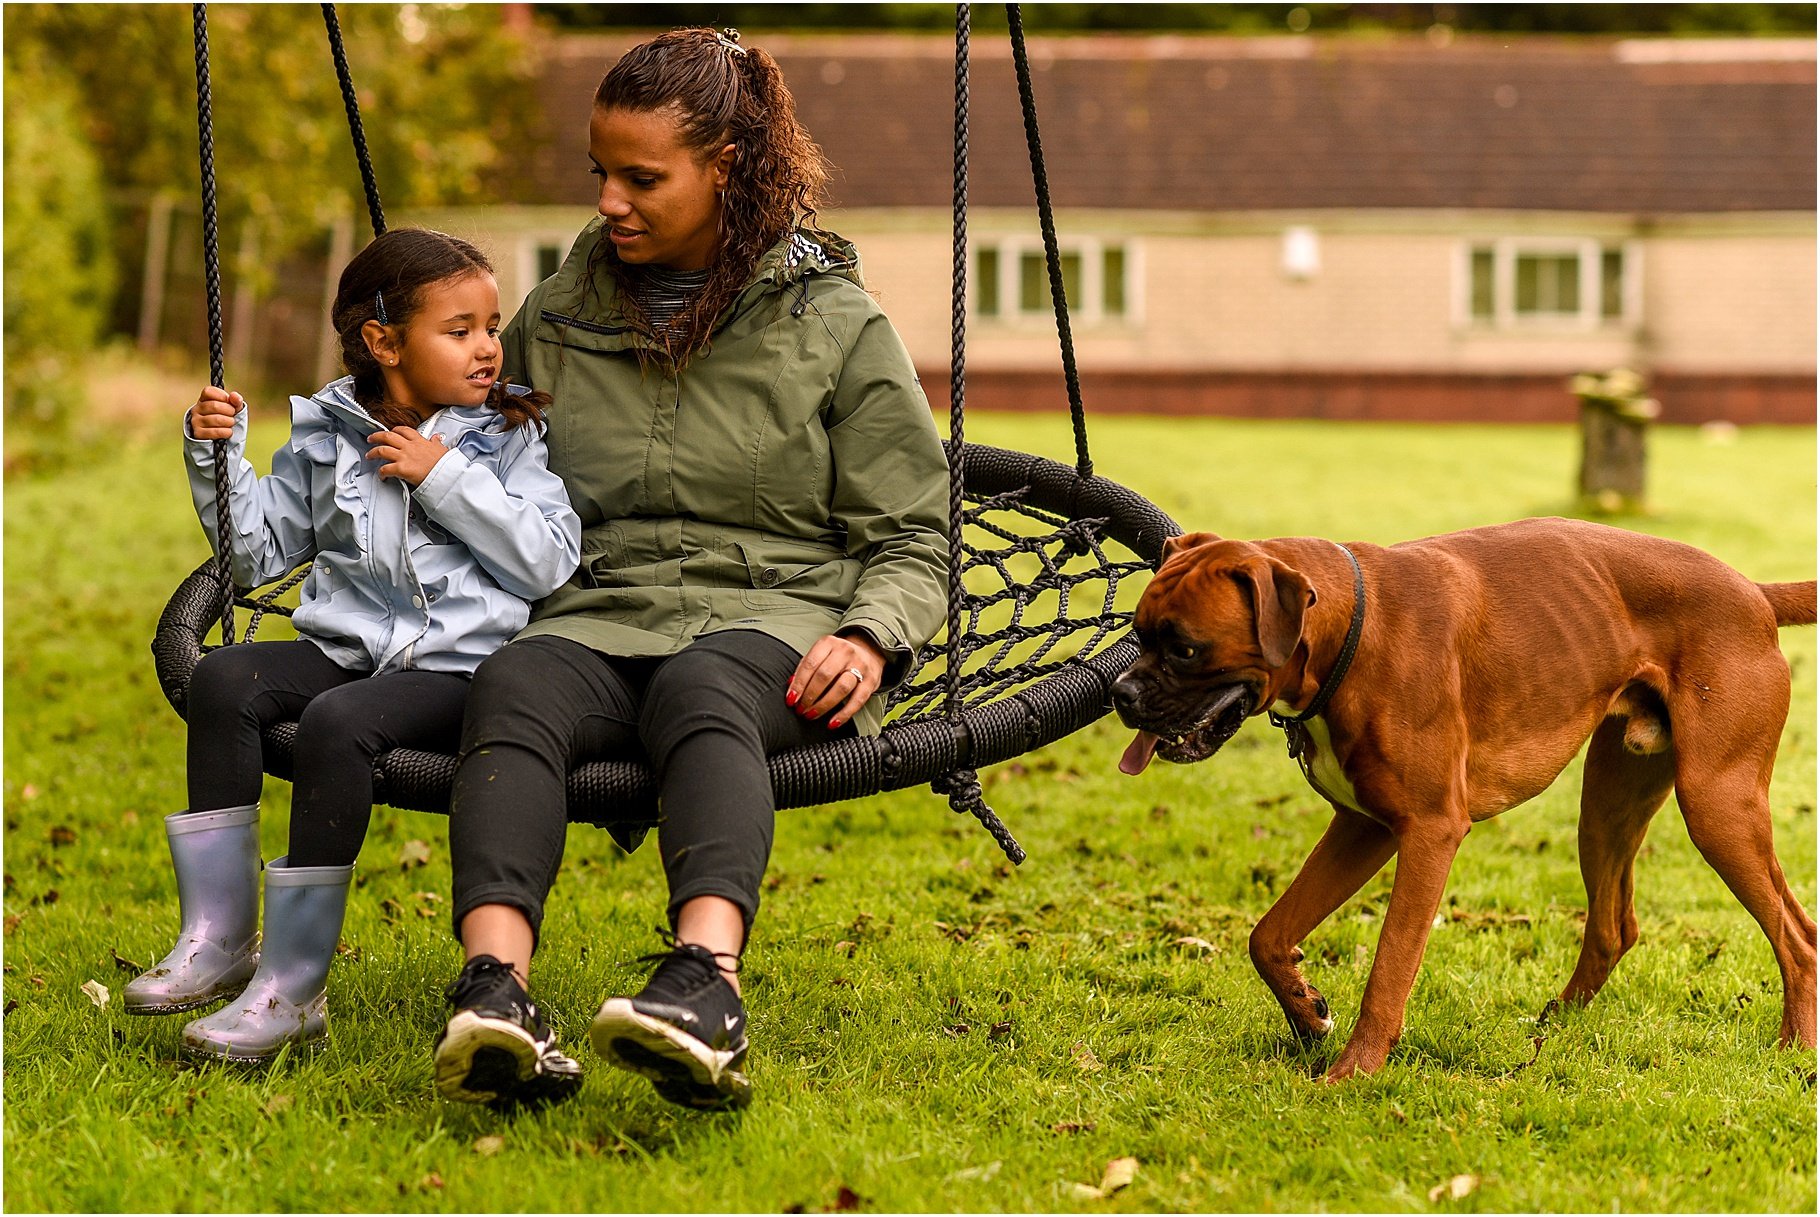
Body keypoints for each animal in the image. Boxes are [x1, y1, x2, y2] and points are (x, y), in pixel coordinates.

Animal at [1113, 516, 1812, 1076]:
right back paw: (1555, 1022)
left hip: (1718, 807)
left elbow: (1390, 966)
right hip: (1607, 810)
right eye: (1138, 633)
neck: (1353, 632)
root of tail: (1754, 593)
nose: (1120, 693)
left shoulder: (1428, 831)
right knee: (1614, 926)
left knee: (1798, 934)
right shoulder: (1362, 829)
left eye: (1185, 648)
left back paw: (1795, 1052)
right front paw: (1308, 1015)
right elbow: (1267, 934)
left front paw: (1353, 1073)